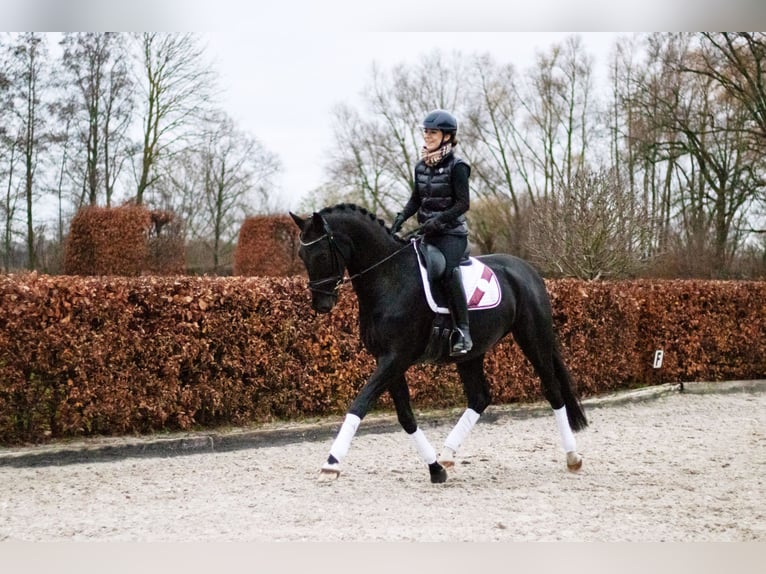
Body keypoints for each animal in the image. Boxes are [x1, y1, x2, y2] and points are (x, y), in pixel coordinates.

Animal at [292, 205, 592, 484]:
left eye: (321, 254)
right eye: (301, 256)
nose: (321, 304)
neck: (389, 277)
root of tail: (528, 271)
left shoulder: (396, 358)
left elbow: (359, 404)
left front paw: (331, 464)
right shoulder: (387, 360)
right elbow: (405, 416)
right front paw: (435, 468)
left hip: (533, 338)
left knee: (553, 391)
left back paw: (573, 457)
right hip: (471, 353)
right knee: (480, 398)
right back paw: (447, 454)